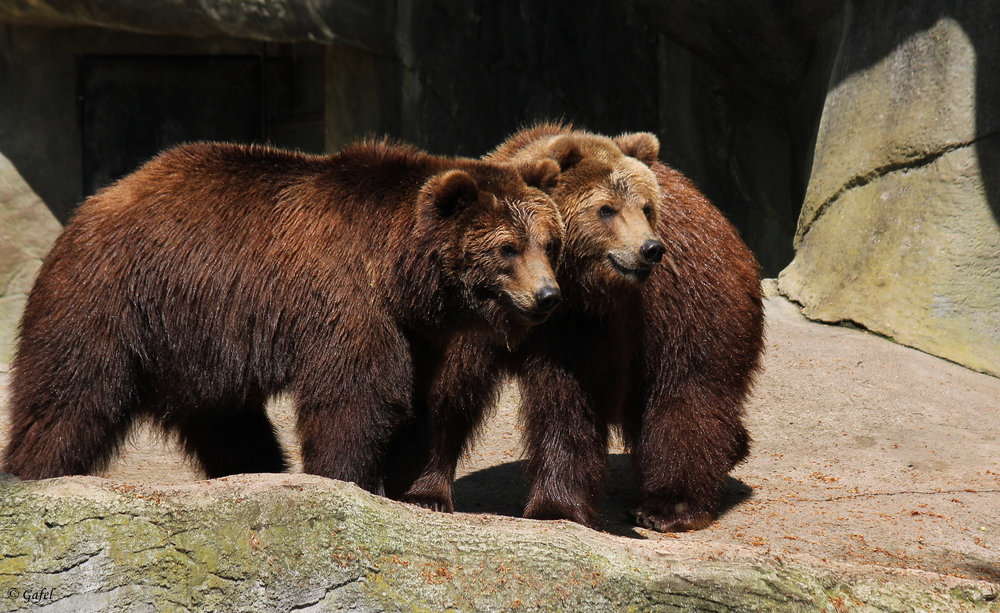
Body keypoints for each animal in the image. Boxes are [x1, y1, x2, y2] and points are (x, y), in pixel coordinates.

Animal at [0, 137, 568, 492]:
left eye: (549, 242)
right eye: (507, 248)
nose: (547, 296)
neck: (397, 269)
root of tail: (87, 209)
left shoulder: (414, 330)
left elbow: (421, 401)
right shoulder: (346, 299)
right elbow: (356, 396)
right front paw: (347, 477)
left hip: (194, 342)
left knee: (228, 424)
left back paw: (256, 470)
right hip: (112, 298)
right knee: (69, 397)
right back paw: (32, 472)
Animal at [394, 125, 760, 532]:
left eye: (646, 208)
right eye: (606, 209)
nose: (651, 249)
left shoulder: (583, 325)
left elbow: (567, 405)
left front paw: (555, 506)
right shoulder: (472, 311)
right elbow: (449, 389)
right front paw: (424, 492)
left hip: (693, 310)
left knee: (687, 397)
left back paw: (668, 506)